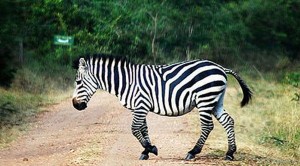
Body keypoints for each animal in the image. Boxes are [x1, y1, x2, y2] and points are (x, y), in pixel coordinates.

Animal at [72, 53, 251, 161]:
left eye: (78, 82)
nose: (75, 105)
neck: (126, 82)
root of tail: (220, 67)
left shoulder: (141, 105)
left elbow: (134, 129)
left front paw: (151, 149)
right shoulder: (139, 107)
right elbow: (143, 129)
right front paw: (146, 151)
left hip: (205, 99)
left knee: (207, 126)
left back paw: (193, 152)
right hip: (216, 100)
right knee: (228, 121)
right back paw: (230, 153)